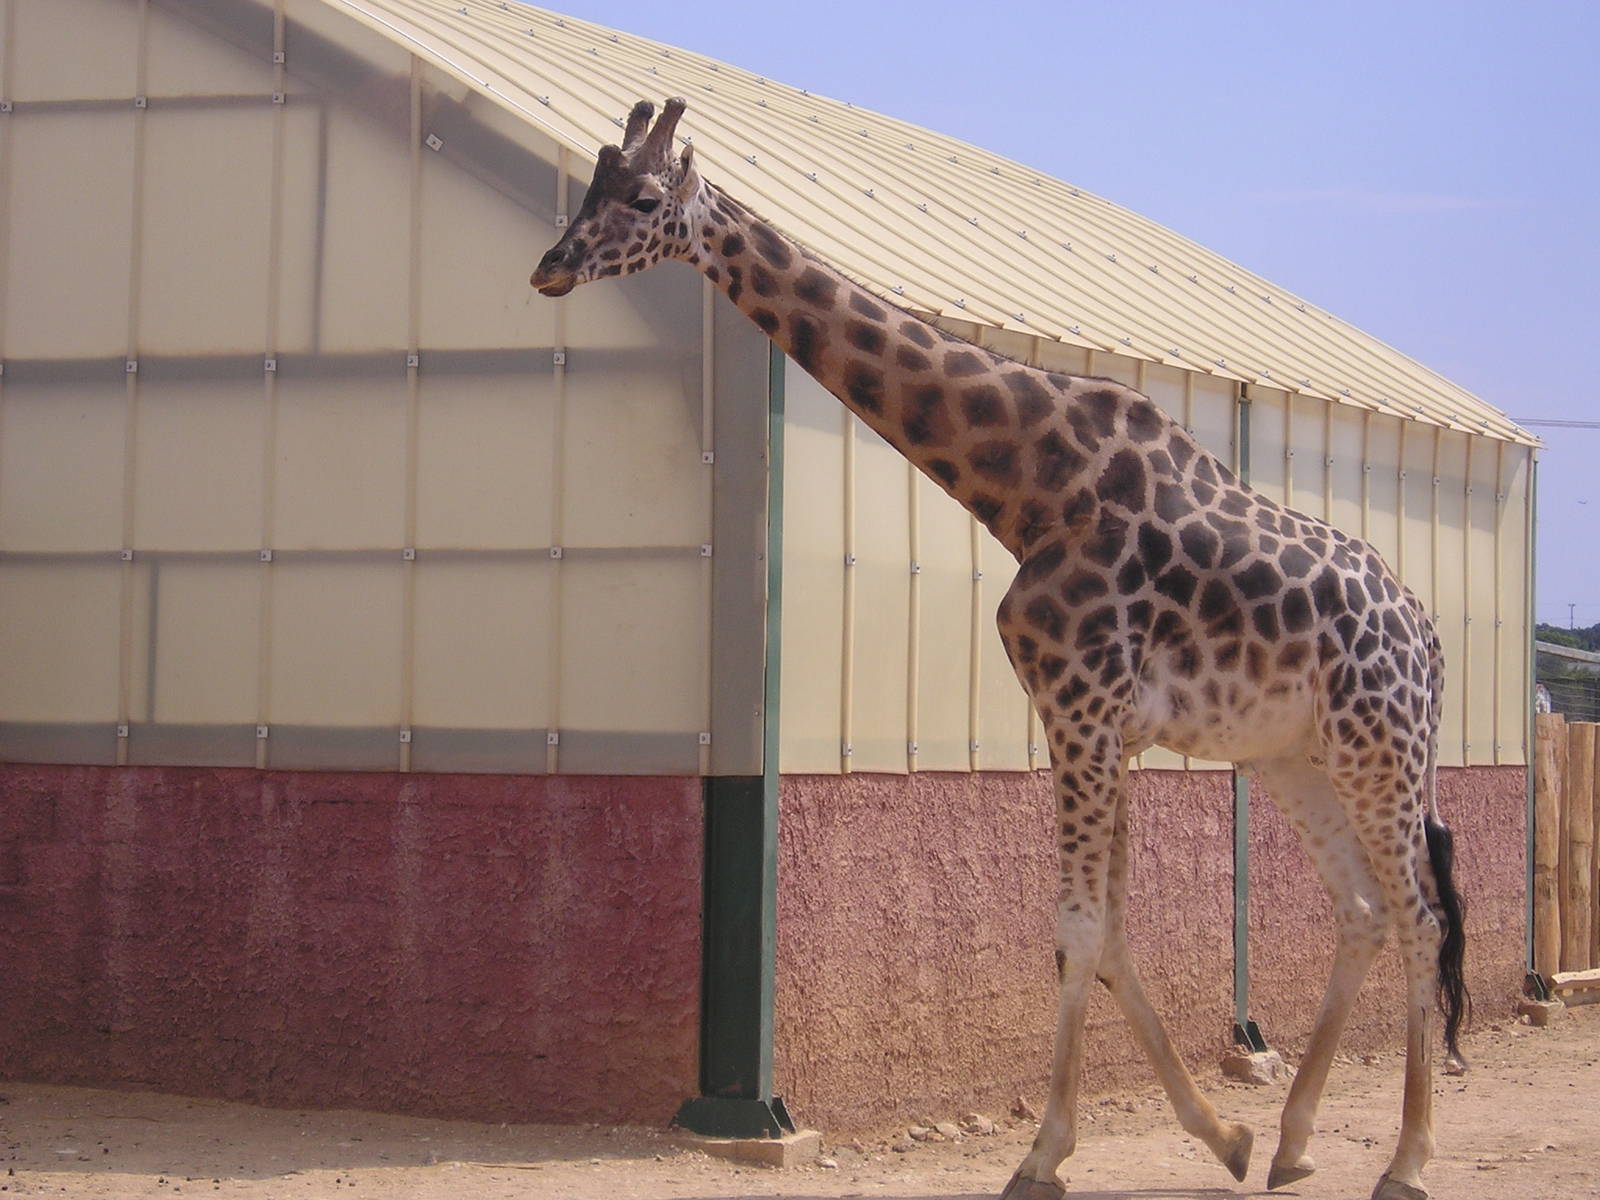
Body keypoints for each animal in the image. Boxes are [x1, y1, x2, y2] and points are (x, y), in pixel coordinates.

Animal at [531, 99, 1469, 1200]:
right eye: (590, 183)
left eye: (641, 198)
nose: (550, 267)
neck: (1031, 488)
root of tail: (1427, 638)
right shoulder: (1102, 725)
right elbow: (1109, 934)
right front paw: (1222, 1137)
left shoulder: (1083, 707)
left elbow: (1076, 930)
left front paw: (1043, 1155)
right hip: (1294, 757)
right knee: (1363, 908)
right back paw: (1289, 1144)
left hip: (1381, 751)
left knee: (1420, 915)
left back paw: (1405, 1161)